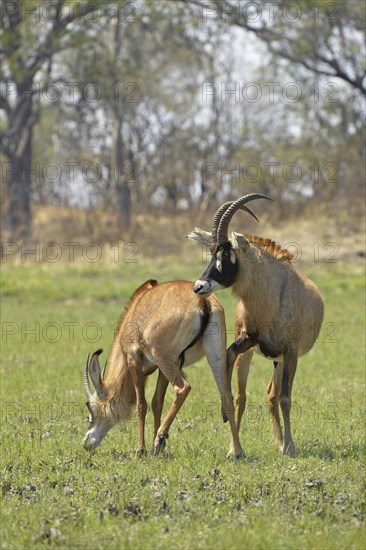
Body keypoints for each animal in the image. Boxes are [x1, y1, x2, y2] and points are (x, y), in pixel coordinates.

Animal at [83, 280, 243, 458]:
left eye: (90, 406)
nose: (86, 443)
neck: (135, 309)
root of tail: (202, 301)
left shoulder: (134, 360)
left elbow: (142, 404)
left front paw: (141, 449)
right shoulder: (162, 369)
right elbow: (157, 402)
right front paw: (158, 449)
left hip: (165, 359)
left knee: (183, 388)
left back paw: (159, 438)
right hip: (213, 357)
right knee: (227, 396)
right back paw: (236, 451)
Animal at [187, 194, 324, 458]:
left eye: (226, 255)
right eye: (211, 252)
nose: (199, 286)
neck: (271, 294)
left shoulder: (291, 351)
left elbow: (285, 398)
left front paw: (290, 447)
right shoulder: (247, 340)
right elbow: (230, 360)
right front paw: (227, 424)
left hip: (279, 360)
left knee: (273, 395)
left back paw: (281, 443)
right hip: (258, 355)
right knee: (246, 396)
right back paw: (237, 447)